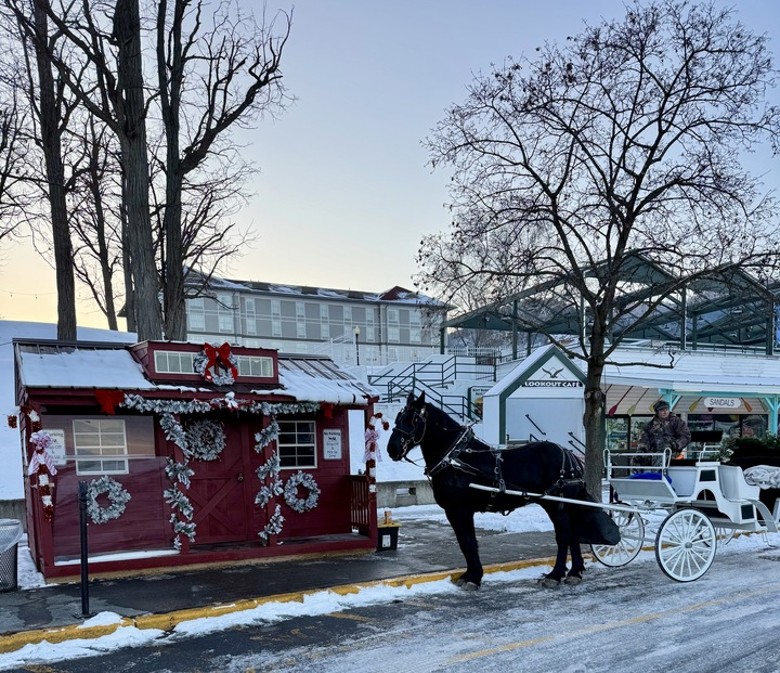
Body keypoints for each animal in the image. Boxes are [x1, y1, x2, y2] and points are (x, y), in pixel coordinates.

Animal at [386, 392, 620, 584]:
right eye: (397, 418)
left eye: (414, 419)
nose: (392, 449)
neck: (456, 458)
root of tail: (570, 456)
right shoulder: (457, 511)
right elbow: (466, 542)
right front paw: (471, 574)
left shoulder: (459, 510)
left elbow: (468, 542)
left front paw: (474, 577)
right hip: (561, 504)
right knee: (572, 534)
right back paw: (574, 572)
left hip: (556, 505)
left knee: (563, 536)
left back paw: (555, 575)